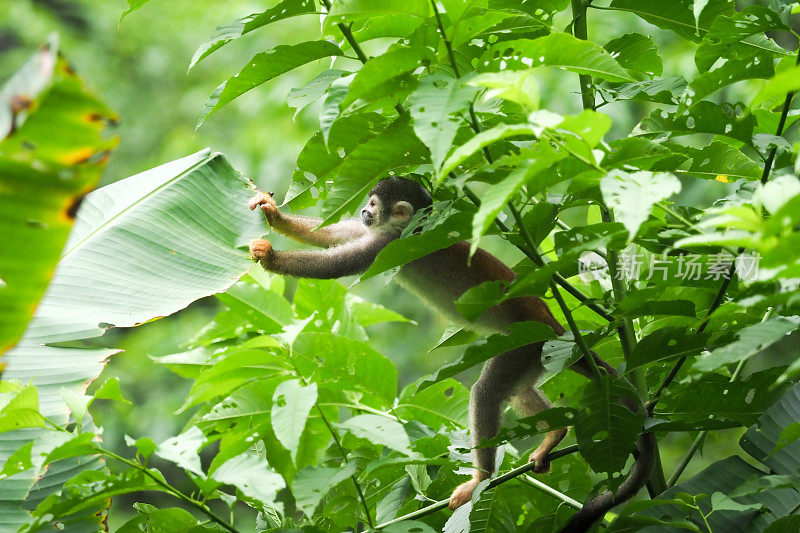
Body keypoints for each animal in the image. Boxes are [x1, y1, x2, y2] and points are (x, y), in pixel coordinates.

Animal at [250, 177, 656, 528]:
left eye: (374, 204)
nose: (364, 211)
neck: (409, 229)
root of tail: (553, 322)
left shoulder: (388, 246)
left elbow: (336, 263)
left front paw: (272, 259)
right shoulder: (379, 236)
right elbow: (335, 234)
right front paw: (274, 214)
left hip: (524, 343)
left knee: (487, 393)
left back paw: (482, 477)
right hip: (535, 352)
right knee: (517, 391)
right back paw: (555, 433)